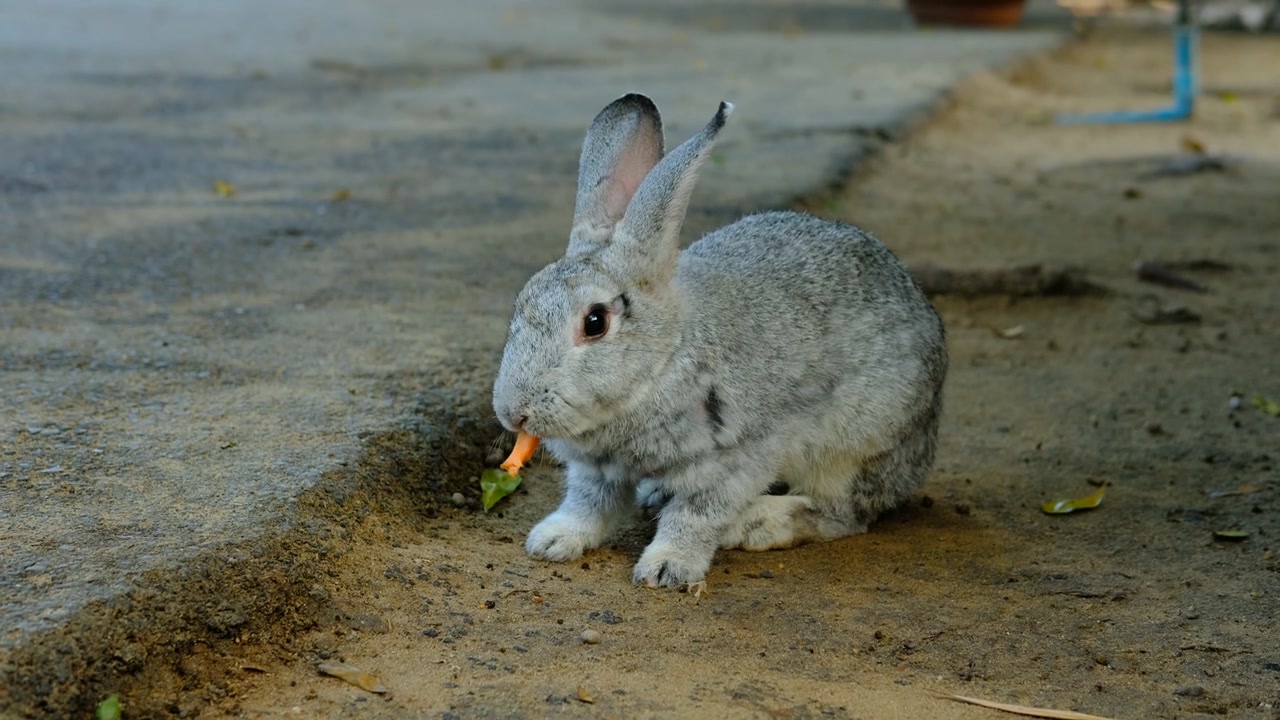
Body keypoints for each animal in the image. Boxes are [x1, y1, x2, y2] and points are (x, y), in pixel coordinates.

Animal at [494, 92, 947, 586]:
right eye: (522, 300)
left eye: (594, 322)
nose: (511, 413)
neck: (664, 359)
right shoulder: (597, 470)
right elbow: (588, 505)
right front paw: (552, 541)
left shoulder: (729, 461)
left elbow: (695, 516)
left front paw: (666, 569)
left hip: (853, 445)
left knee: (842, 513)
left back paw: (755, 523)